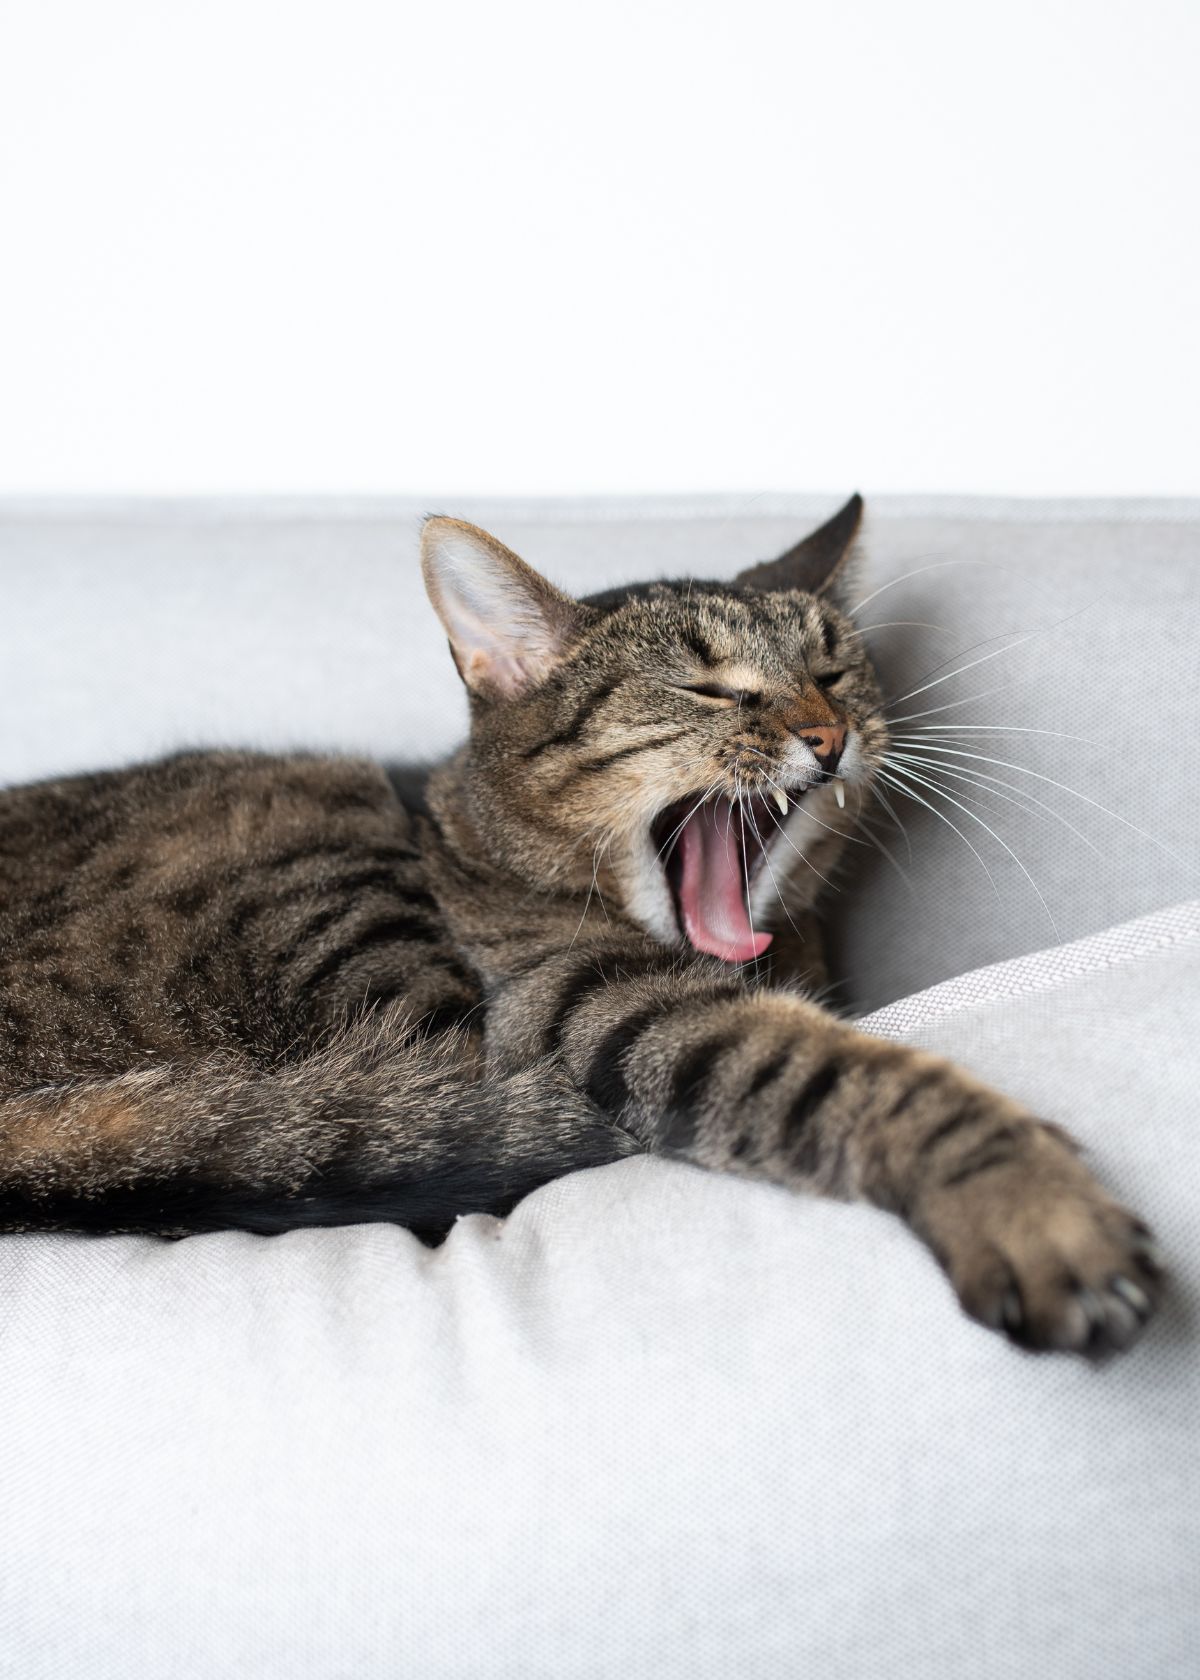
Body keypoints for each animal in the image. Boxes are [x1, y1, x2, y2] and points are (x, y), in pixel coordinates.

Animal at [0, 493, 1156, 1350]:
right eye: (710, 689)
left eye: (833, 670)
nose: (830, 735)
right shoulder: (589, 1008)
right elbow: (836, 1071)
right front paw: (1028, 1201)